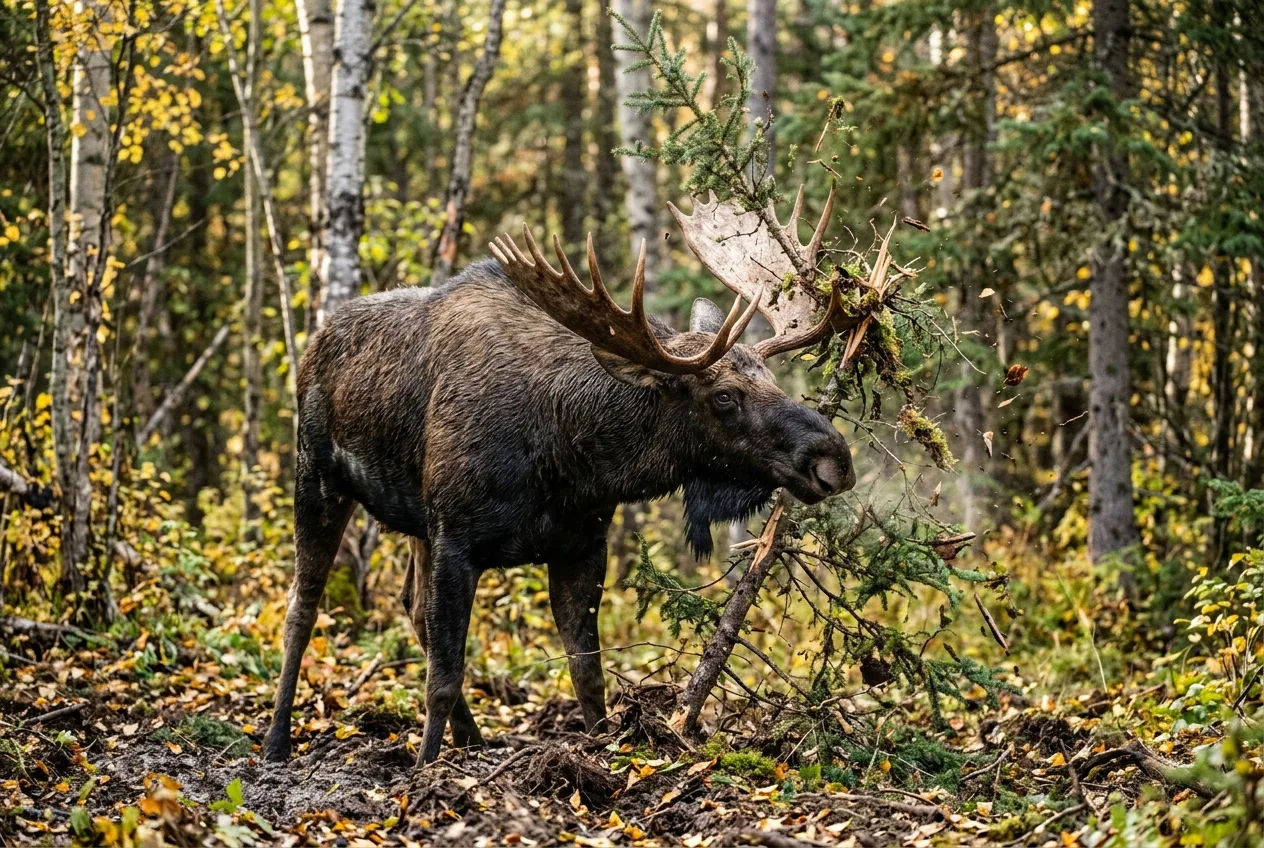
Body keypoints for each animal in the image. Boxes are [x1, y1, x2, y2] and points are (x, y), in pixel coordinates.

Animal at [263, 186, 860, 765]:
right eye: (724, 397)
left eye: (772, 378)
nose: (834, 459)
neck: (567, 462)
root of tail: (317, 339)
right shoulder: (457, 538)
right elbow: (444, 676)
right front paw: (426, 769)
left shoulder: (581, 543)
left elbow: (587, 673)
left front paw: (599, 751)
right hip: (316, 475)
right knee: (301, 606)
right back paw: (276, 740)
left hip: (415, 522)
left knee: (410, 606)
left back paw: (472, 740)